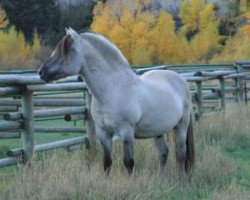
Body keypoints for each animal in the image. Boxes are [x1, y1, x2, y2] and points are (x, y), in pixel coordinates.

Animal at [38, 28, 195, 178]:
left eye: (66, 49)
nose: (41, 72)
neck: (111, 90)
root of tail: (181, 79)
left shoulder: (126, 131)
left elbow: (129, 162)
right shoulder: (103, 133)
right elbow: (107, 163)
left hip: (181, 126)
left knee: (181, 154)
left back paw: (182, 179)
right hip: (157, 131)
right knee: (163, 153)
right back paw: (161, 178)